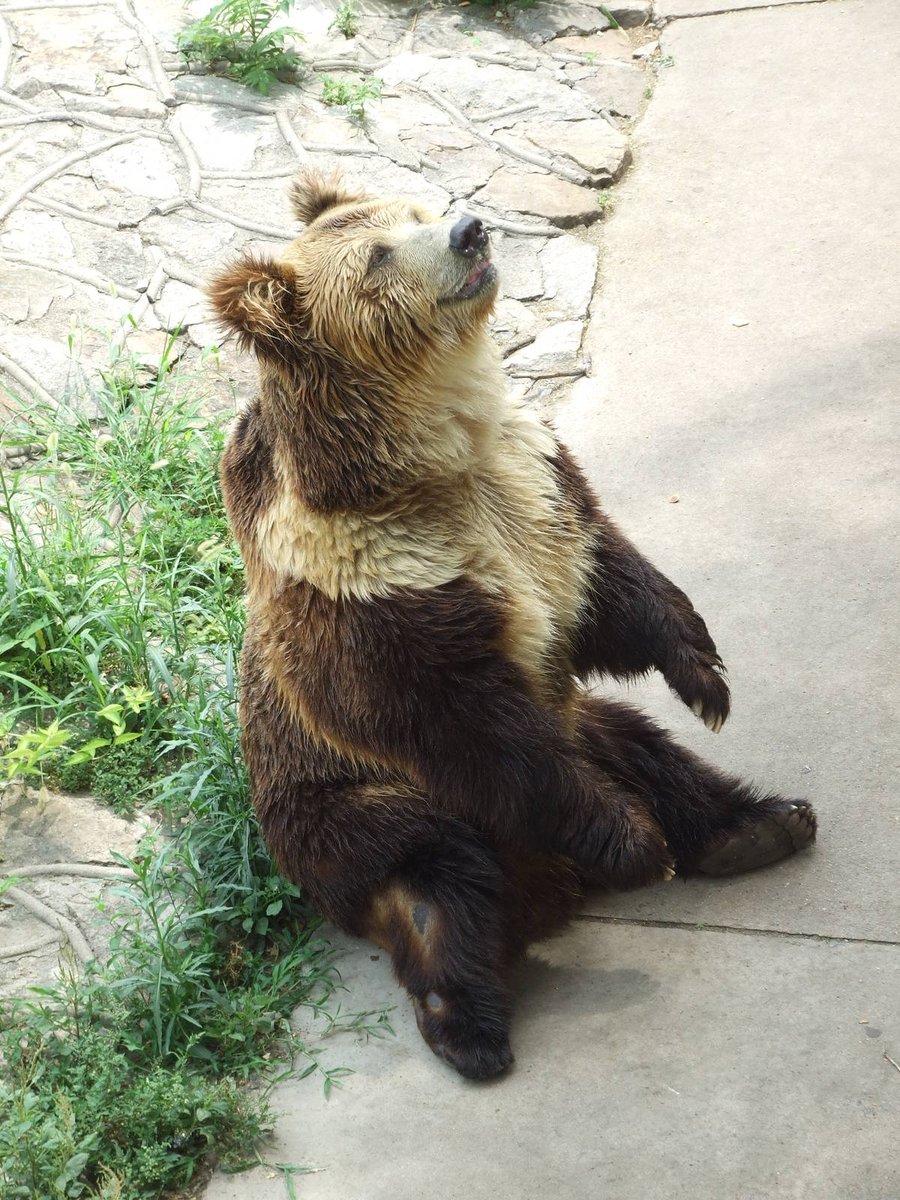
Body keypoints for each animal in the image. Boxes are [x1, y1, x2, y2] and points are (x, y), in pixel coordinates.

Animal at [209, 168, 816, 1081]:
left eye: (415, 210)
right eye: (379, 256)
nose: (470, 230)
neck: (433, 463)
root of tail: (547, 884)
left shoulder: (535, 485)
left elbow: (610, 587)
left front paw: (705, 674)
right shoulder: (370, 590)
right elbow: (470, 723)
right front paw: (634, 846)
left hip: (584, 725)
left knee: (652, 752)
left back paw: (763, 825)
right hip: (351, 805)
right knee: (441, 880)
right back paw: (470, 1022)